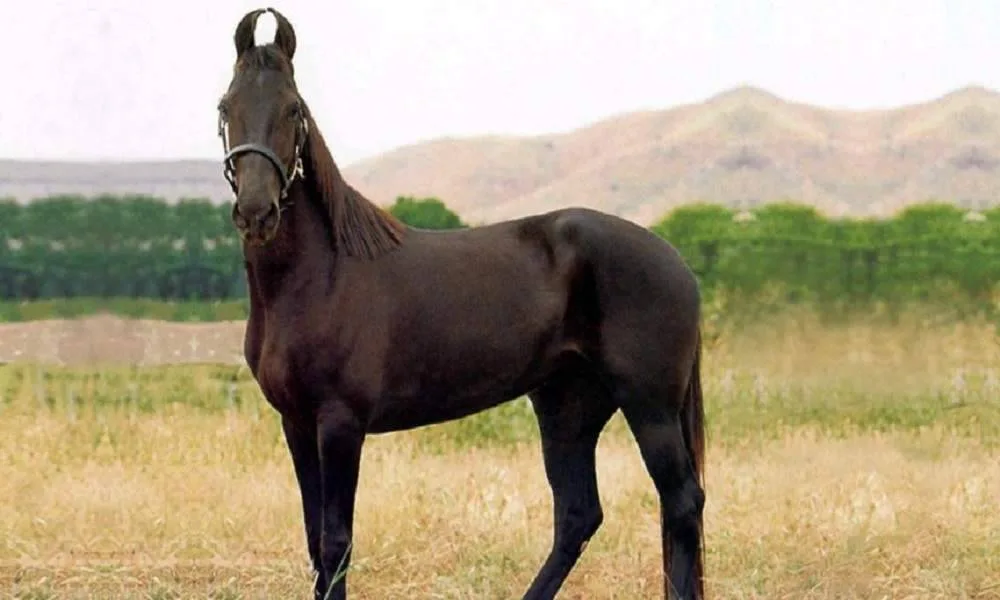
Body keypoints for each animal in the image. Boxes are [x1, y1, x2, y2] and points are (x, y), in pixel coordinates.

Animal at [216, 8, 707, 600]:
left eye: (294, 109)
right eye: (226, 107)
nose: (256, 212)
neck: (318, 277)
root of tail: (675, 259)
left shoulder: (339, 423)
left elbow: (336, 546)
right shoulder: (296, 423)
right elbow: (316, 544)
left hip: (649, 407)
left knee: (682, 504)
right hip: (568, 408)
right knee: (579, 515)